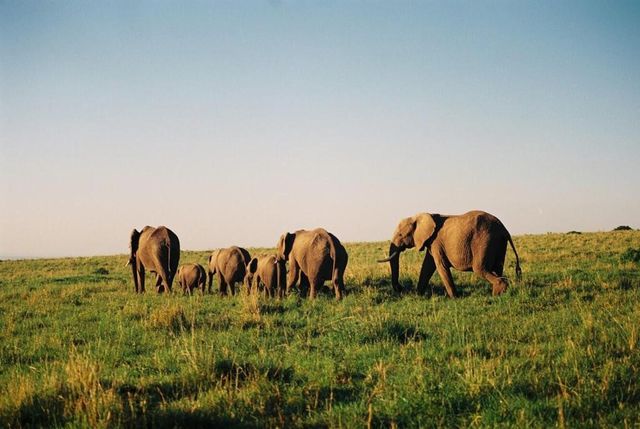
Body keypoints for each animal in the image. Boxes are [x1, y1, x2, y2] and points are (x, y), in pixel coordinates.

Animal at [378, 210, 524, 296]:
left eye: (401, 235)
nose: (400, 288)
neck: (423, 215)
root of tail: (504, 228)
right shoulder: (431, 243)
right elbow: (427, 267)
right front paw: (418, 295)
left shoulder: (436, 242)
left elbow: (440, 266)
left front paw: (454, 298)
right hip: (498, 242)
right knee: (498, 267)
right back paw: (498, 293)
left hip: (484, 240)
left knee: (479, 268)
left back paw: (497, 292)